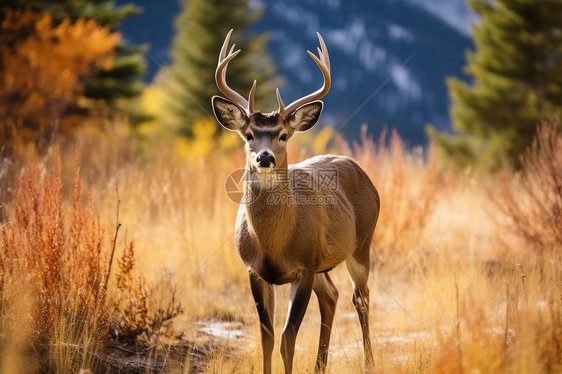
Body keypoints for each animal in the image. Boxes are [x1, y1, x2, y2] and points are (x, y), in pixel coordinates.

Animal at [211, 30, 380, 374]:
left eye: (283, 135)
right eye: (249, 135)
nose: (264, 157)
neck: (274, 244)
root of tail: (360, 169)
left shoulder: (303, 266)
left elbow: (287, 339)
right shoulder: (255, 271)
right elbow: (267, 337)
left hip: (362, 244)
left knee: (361, 298)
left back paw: (369, 362)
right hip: (323, 263)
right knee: (332, 295)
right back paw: (320, 367)